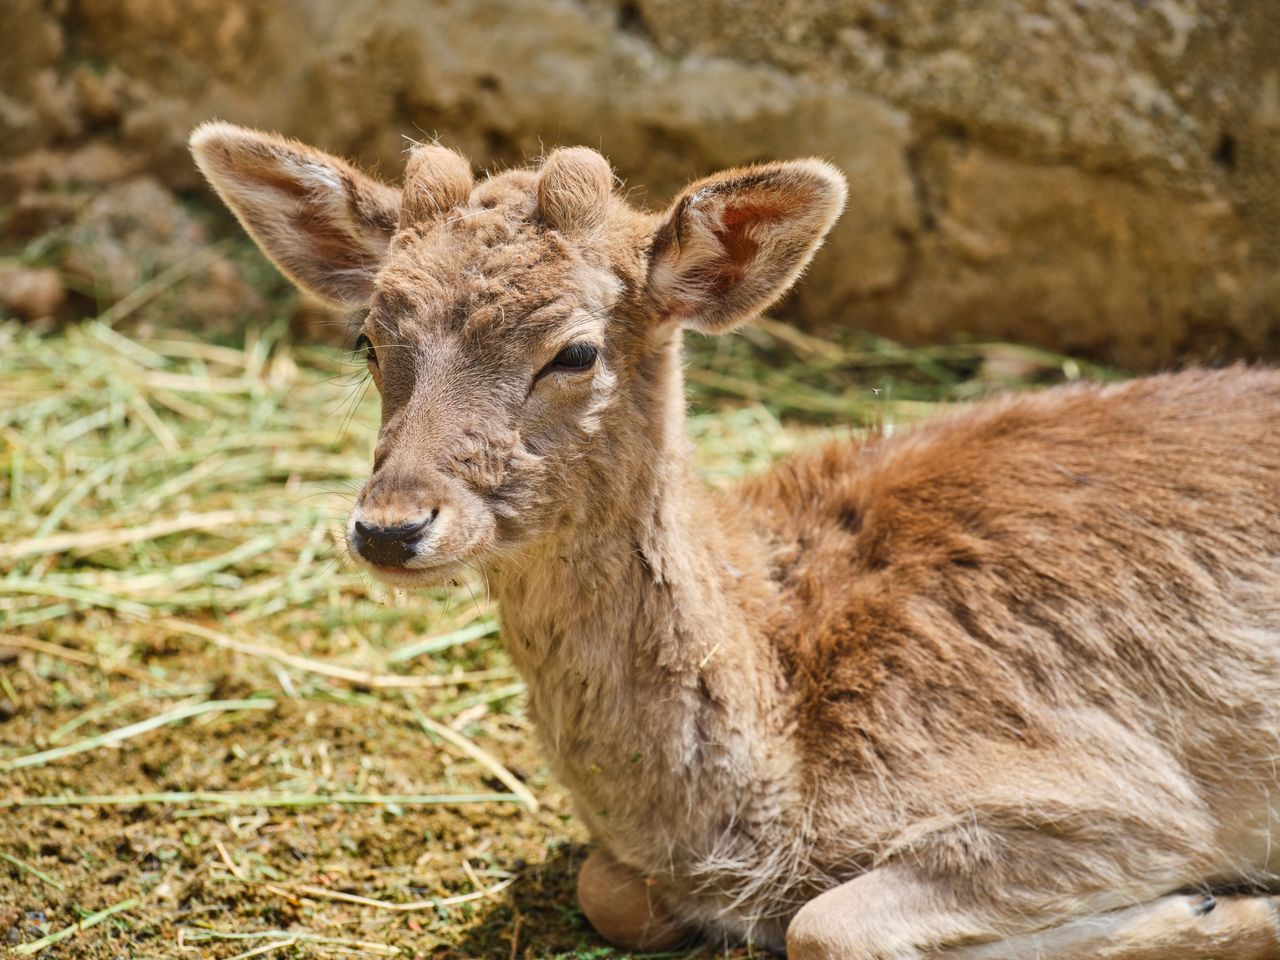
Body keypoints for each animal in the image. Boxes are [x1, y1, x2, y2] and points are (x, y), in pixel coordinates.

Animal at [190, 121, 1280, 959]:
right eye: (369, 340)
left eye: (573, 351)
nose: (391, 524)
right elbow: (610, 890)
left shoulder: (1112, 790)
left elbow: (824, 928)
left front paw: (1219, 909)